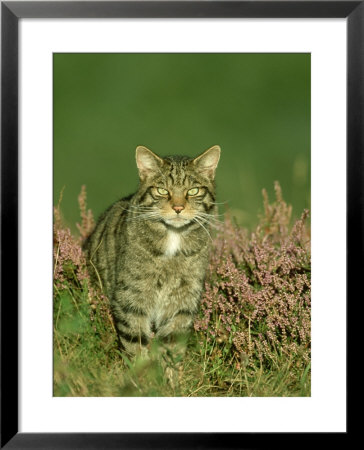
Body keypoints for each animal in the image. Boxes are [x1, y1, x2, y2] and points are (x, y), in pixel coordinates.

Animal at [84, 146, 220, 364]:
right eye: (162, 190)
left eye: (193, 191)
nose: (178, 207)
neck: (173, 239)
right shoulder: (131, 299)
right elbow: (136, 345)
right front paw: (142, 373)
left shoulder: (183, 303)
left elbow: (172, 349)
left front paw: (170, 374)